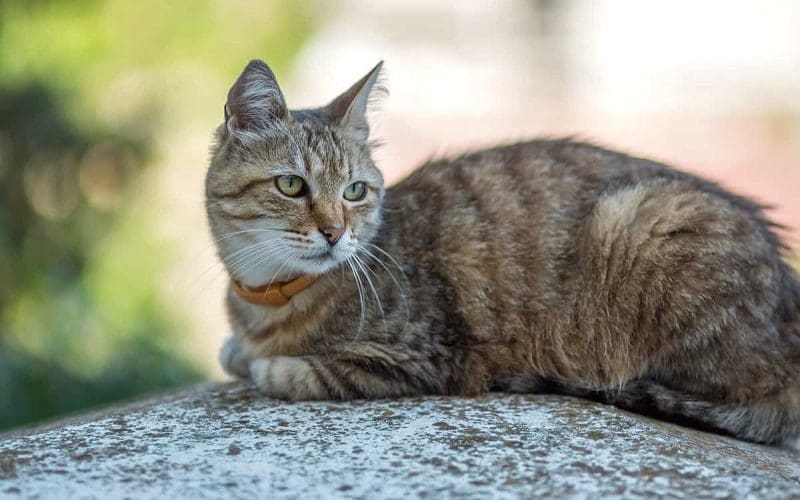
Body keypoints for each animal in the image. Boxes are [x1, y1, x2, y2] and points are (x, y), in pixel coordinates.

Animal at [205, 58, 800, 446]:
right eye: (291, 186)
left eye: (355, 191)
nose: (334, 232)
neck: (271, 296)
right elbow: (235, 352)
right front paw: (240, 350)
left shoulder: (424, 358)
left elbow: (293, 372)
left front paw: (264, 364)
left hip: (642, 221)